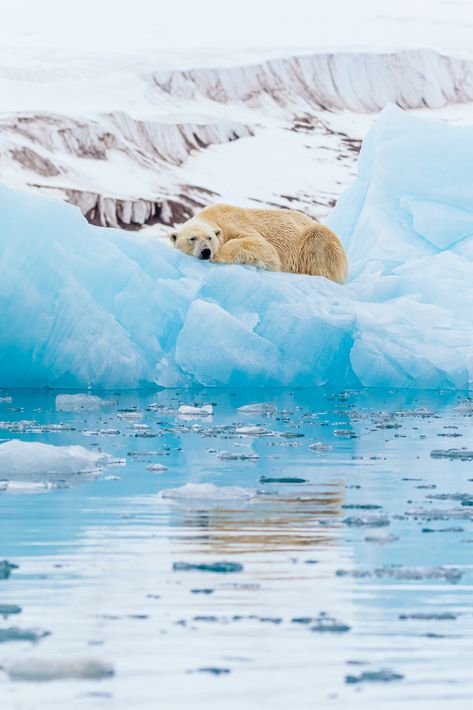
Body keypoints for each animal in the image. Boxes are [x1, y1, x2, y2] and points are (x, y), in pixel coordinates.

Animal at [169, 203, 346, 284]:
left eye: (209, 237)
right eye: (192, 238)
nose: (205, 252)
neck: (212, 216)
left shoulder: (234, 222)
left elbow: (263, 247)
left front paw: (219, 256)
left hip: (320, 241)